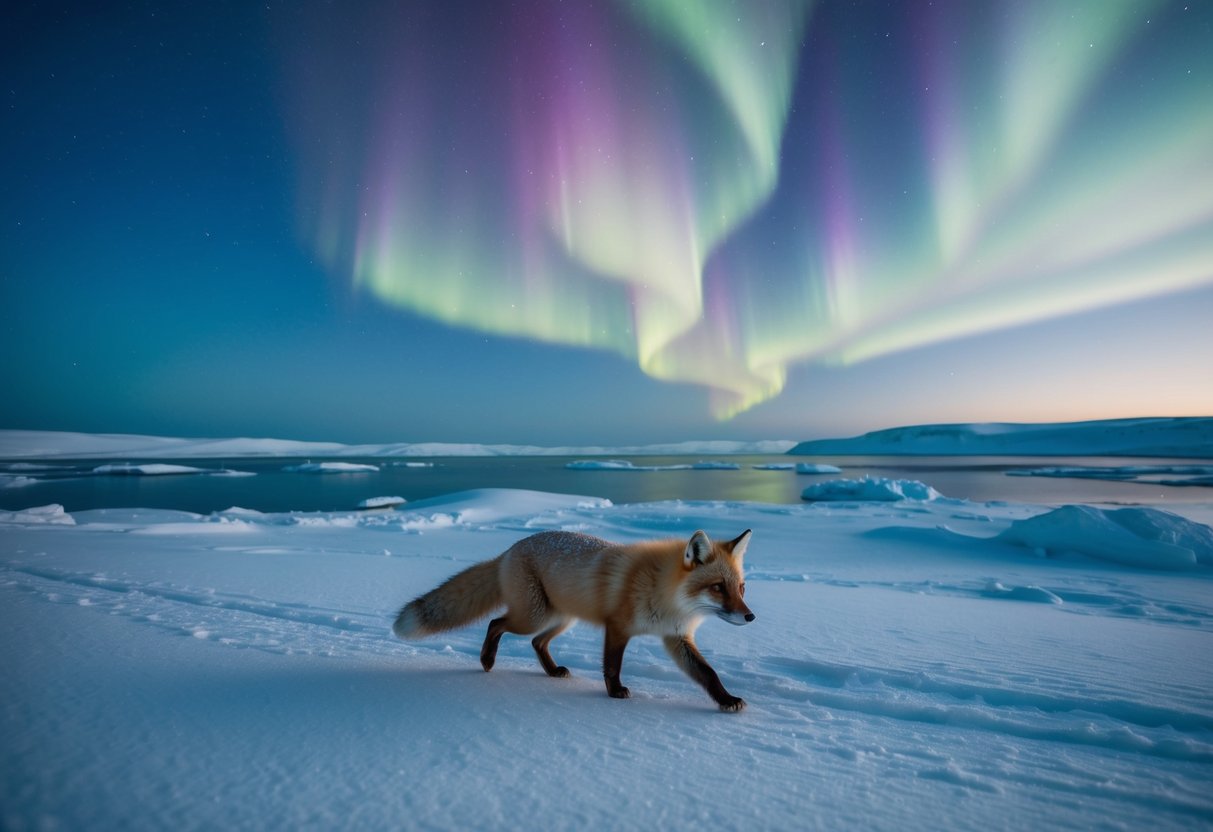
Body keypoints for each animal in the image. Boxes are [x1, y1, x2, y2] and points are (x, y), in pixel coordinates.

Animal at [393, 528, 755, 711]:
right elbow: (612, 666)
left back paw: (552, 671)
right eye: (718, 587)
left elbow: (708, 674)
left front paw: (726, 700)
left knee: (537, 643)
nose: (750, 616)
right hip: (534, 615)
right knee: (497, 624)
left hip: (561, 619)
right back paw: (487, 660)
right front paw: (615, 693)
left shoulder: (676, 637)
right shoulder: (618, 627)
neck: (664, 592)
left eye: (740, 587)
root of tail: (509, 549)